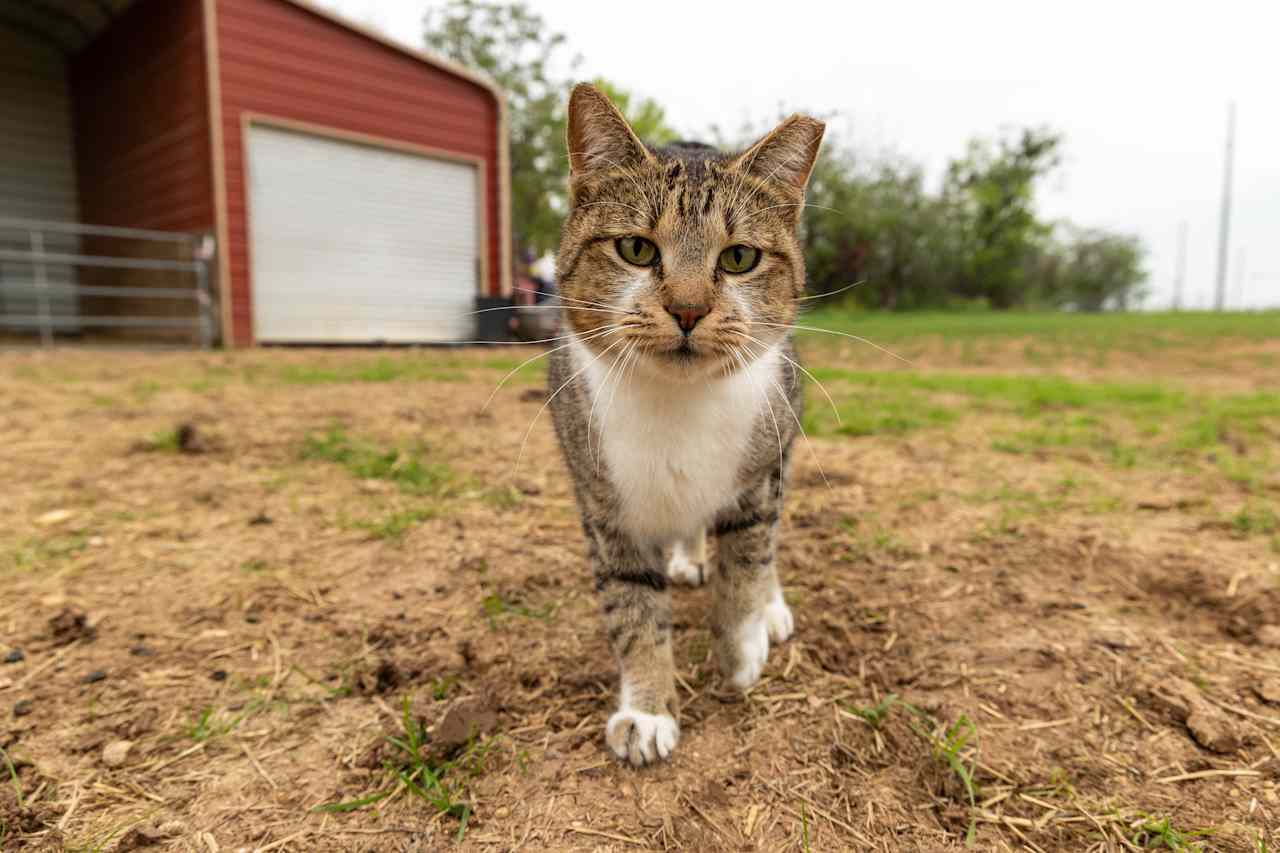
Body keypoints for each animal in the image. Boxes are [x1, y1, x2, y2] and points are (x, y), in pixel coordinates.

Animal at [545, 84, 824, 763]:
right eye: (636, 249)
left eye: (741, 257)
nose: (690, 309)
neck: (678, 403)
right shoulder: (604, 505)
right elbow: (632, 608)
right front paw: (647, 709)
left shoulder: (760, 475)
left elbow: (746, 561)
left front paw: (742, 648)